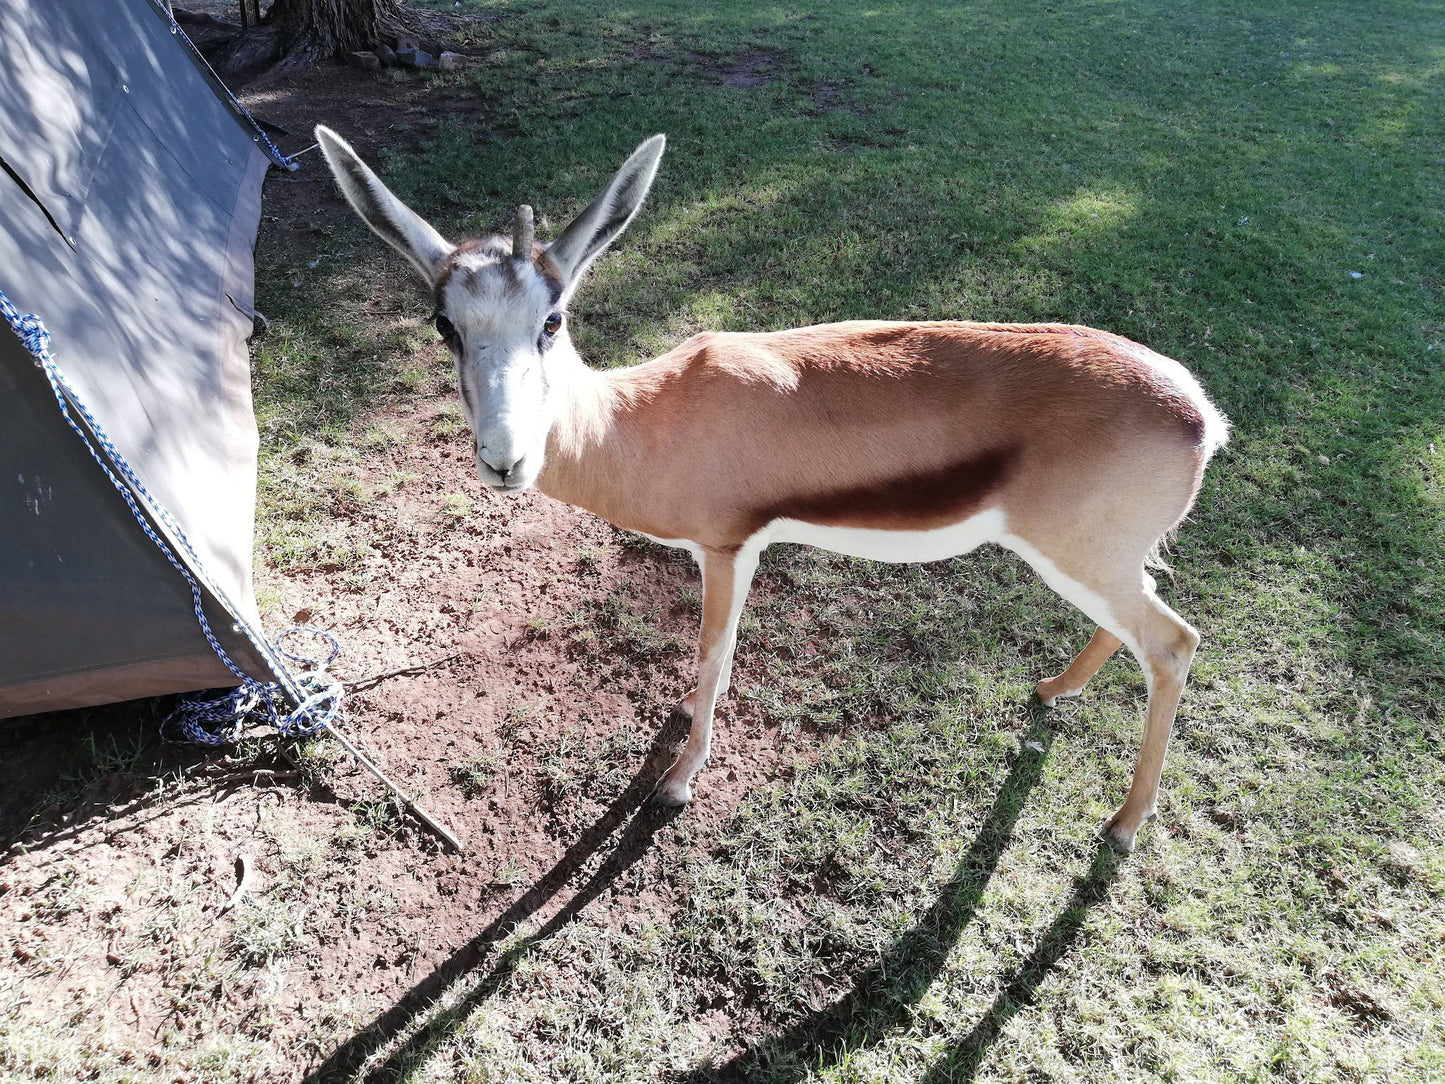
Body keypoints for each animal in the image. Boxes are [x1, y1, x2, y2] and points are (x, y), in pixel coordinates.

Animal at [319, 129, 1231, 855]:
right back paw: (1051, 691)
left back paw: (1121, 825)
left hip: (1076, 560)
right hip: (1097, 565)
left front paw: (679, 778)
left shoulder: (727, 549)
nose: (505, 459)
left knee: (1174, 643)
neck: (647, 418)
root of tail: (1199, 412)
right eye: (445, 325)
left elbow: (711, 651)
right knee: (1136, 627)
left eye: (552, 319)